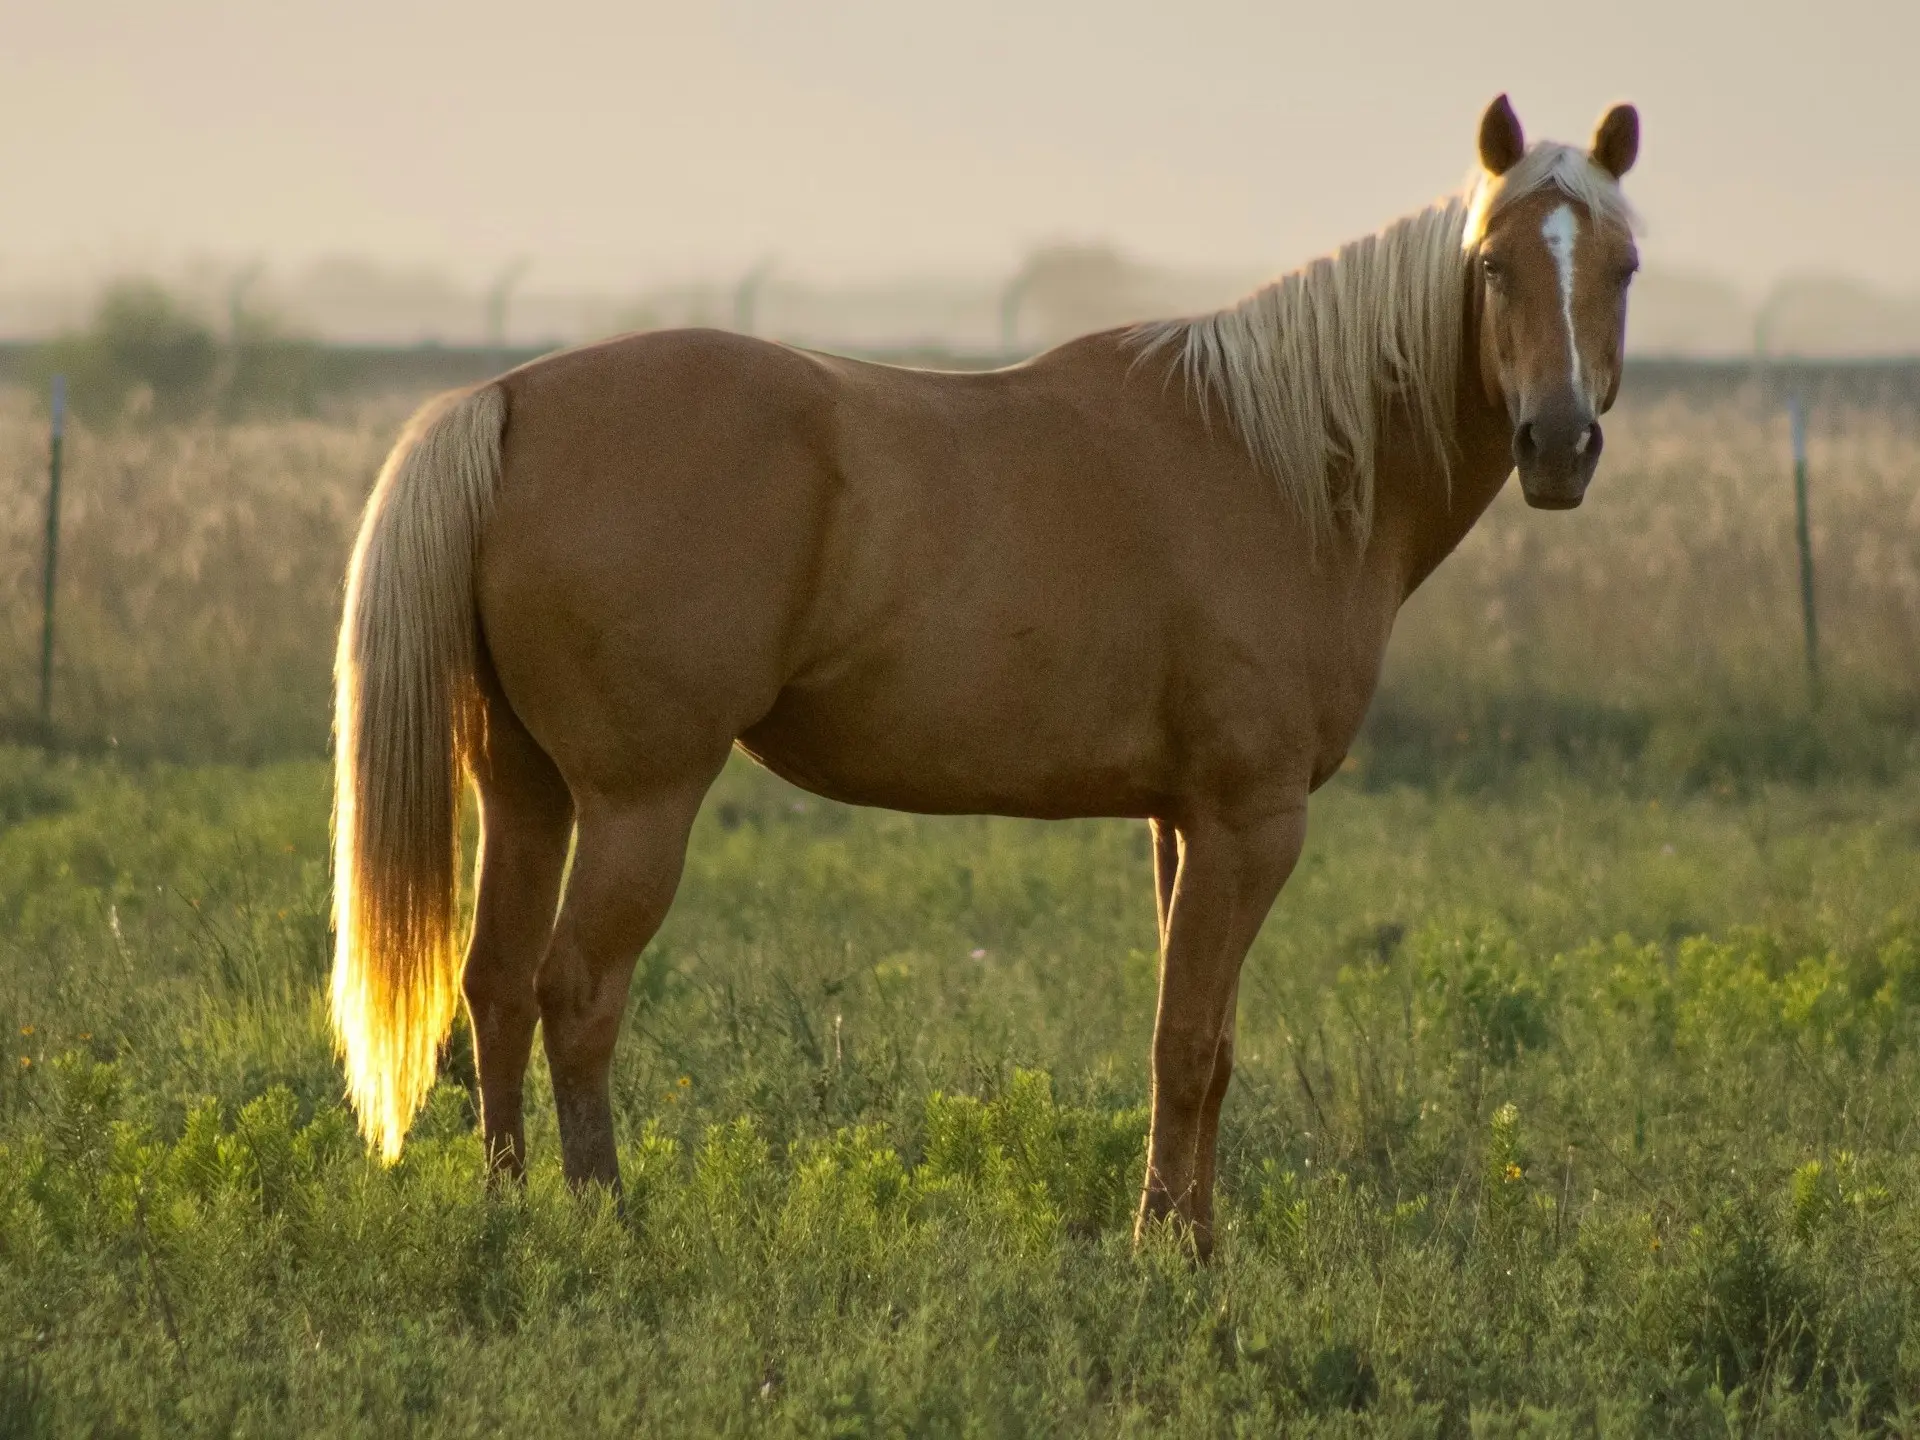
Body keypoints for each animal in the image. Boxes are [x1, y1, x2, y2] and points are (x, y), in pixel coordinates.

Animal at [330, 96, 1635, 1259]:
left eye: (1622, 267)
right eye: (1494, 267)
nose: (1559, 445)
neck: (1282, 463)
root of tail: (509, 400)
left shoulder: (1180, 823)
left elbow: (1200, 1046)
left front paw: (1189, 1238)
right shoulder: (1250, 822)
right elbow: (1188, 1043)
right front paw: (1170, 1255)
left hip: (528, 790)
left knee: (496, 985)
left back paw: (511, 1213)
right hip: (637, 804)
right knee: (577, 993)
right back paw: (604, 1218)